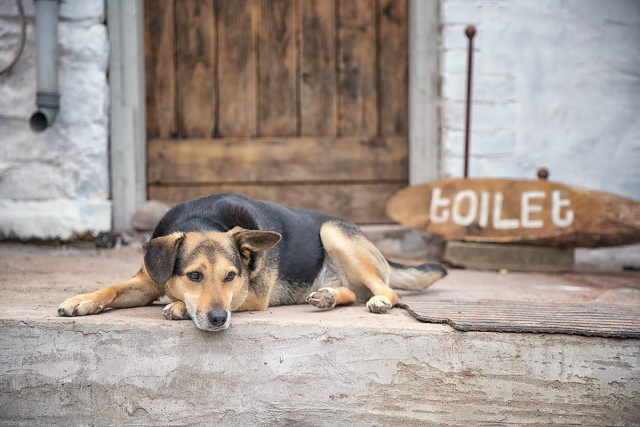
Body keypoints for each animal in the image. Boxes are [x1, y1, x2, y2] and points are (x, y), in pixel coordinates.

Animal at [58, 193, 446, 331]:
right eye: (194, 275)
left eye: (231, 276)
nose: (218, 320)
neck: (201, 219)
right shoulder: (148, 279)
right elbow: (112, 288)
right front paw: (81, 301)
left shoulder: (253, 296)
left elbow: (221, 301)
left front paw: (180, 308)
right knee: (352, 292)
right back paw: (328, 296)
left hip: (333, 231)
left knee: (387, 291)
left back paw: (378, 300)